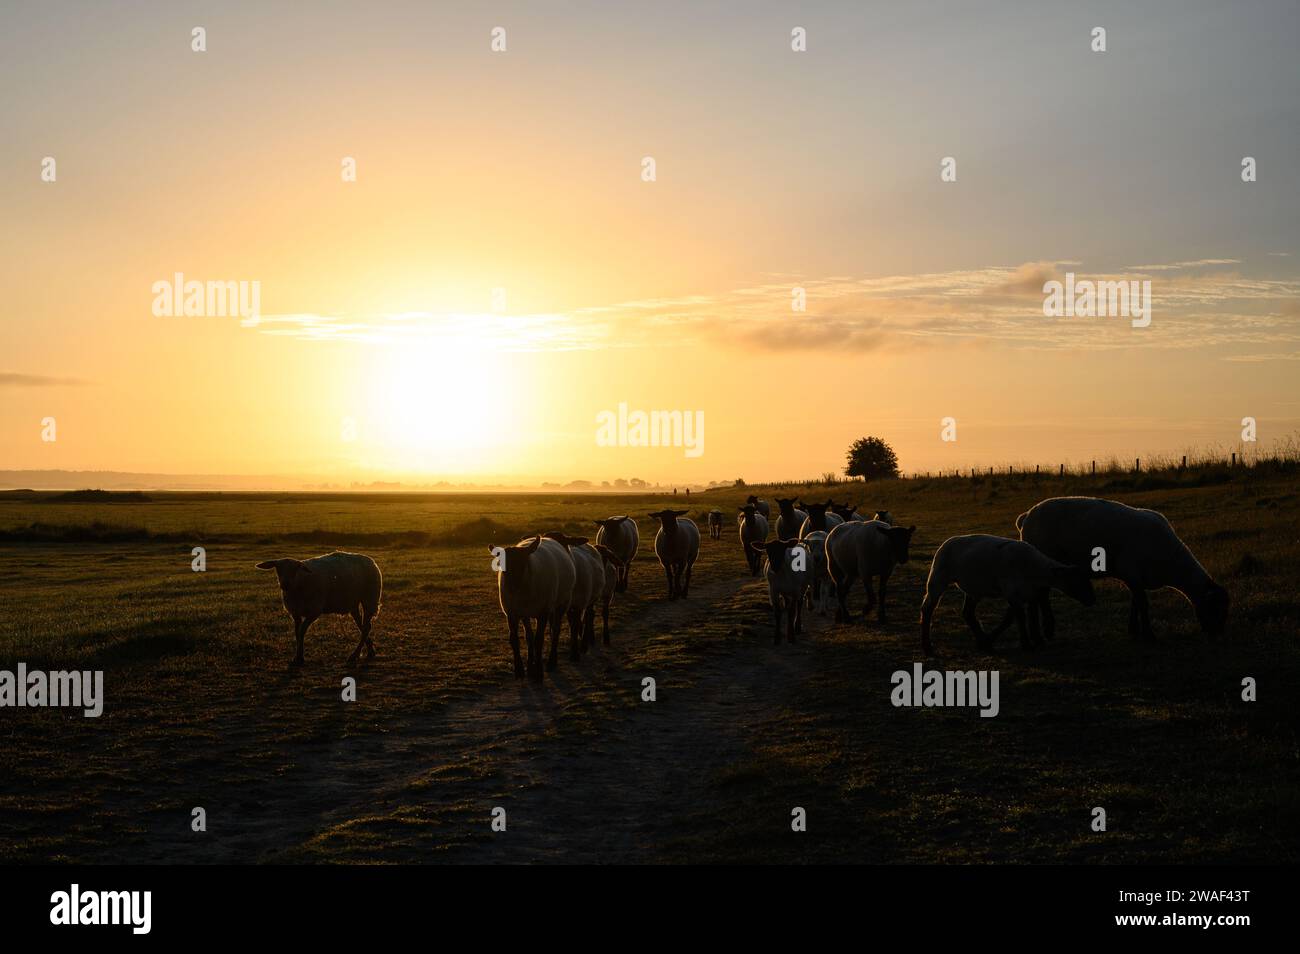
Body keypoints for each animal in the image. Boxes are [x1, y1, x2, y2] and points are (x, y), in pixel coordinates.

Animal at [250, 548, 379, 670]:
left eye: (295, 569)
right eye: (278, 568)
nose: (285, 584)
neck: (298, 584)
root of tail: (371, 561)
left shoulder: (314, 611)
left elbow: (302, 631)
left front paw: (299, 658)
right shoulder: (295, 613)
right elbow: (297, 632)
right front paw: (298, 656)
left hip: (370, 599)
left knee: (366, 627)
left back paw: (354, 655)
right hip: (353, 603)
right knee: (363, 626)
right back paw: (370, 651)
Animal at [488, 535, 574, 686]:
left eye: (522, 563)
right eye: (501, 564)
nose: (511, 587)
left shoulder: (543, 612)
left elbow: (539, 640)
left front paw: (539, 673)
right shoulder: (511, 612)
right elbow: (515, 639)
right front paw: (520, 671)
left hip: (562, 602)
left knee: (555, 630)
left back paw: (551, 662)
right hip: (528, 612)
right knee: (530, 636)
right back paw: (530, 666)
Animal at [915, 535, 1097, 655]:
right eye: (1076, 581)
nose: (1092, 600)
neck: (1038, 569)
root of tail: (947, 541)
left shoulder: (1024, 595)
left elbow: (1012, 618)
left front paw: (991, 640)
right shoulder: (1012, 592)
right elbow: (1019, 618)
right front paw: (1027, 644)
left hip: (975, 588)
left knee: (968, 613)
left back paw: (983, 641)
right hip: (938, 577)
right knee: (928, 608)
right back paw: (927, 646)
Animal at [1013, 496, 1227, 639]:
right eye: (1214, 607)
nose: (1217, 634)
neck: (1172, 563)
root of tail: (1027, 515)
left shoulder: (1135, 578)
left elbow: (1135, 602)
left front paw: (1134, 631)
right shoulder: (1131, 572)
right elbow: (1143, 603)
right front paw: (1148, 633)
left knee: (1038, 596)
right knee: (1041, 596)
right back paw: (1046, 630)